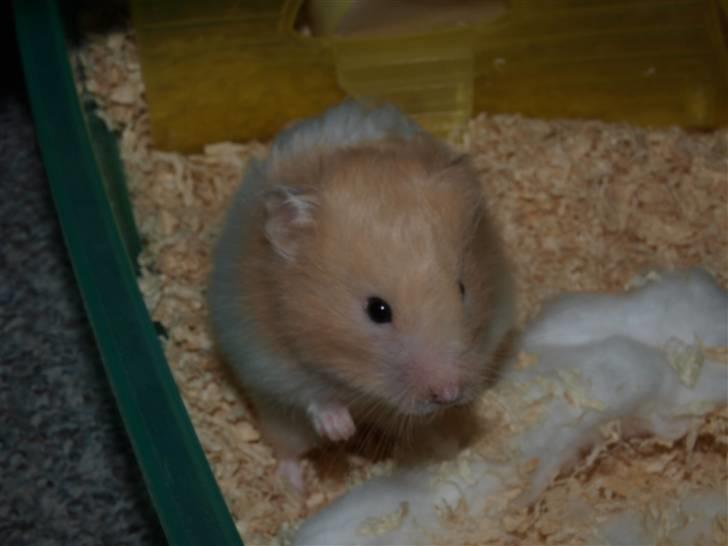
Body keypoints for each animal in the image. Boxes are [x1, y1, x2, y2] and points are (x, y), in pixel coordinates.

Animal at [208, 100, 515, 488]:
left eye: (463, 289)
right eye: (377, 310)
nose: (447, 395)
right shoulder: (267, 359)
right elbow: (313, 395)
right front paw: (340, 430)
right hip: (281, 420)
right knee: (288, 448)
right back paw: (293, 488)